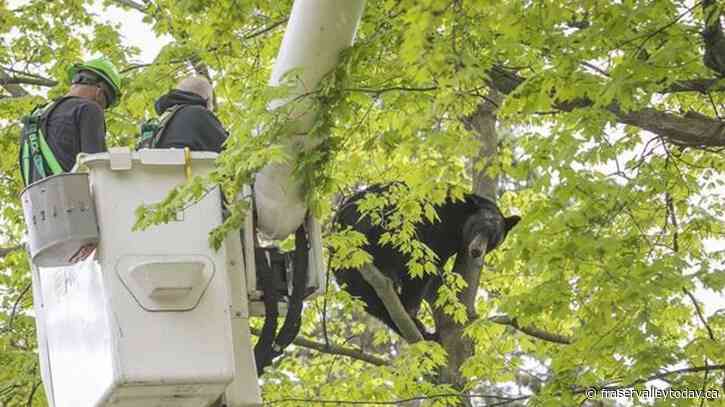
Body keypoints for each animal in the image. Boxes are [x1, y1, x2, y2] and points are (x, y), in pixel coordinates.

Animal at [333, 184, 520, 340]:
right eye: (478, 228)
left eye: (493, 238)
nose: (476, 251)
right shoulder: (436, 222)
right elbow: (424, 266)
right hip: (378, 226)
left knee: (377, 307)